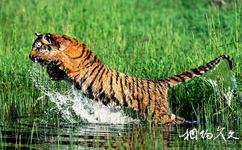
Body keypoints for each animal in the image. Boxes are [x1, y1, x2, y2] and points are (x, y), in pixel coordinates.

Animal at [28, 32, 233, 124]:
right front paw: (52, 71)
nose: (30, 57)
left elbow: (60, 58)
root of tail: (159, 83)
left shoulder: (73, 65)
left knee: (172, 119)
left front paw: (50, 61)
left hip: (158, 113)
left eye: (37, 47)